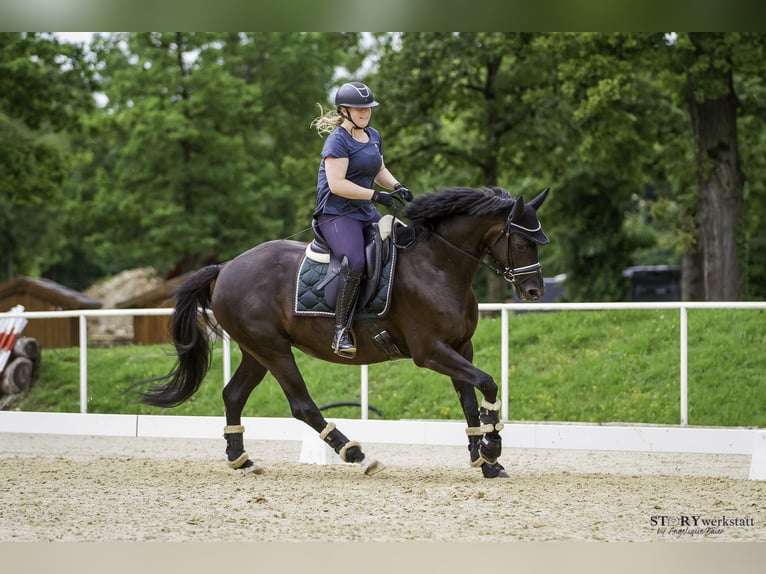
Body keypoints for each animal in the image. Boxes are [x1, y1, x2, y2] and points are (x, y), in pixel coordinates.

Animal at [136, 187, 544, 480]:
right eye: (522, 242)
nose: (534, 291)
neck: (438, 266)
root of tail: (225, 267)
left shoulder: (461, 346)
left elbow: (470, 401)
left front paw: (485, 460)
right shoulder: (431, 351)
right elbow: (487, 383)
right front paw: (491, 448)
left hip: (257, 351)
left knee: (233, 394)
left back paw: (241, 460)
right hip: (274, 349)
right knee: (302, 405)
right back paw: (358, 455)